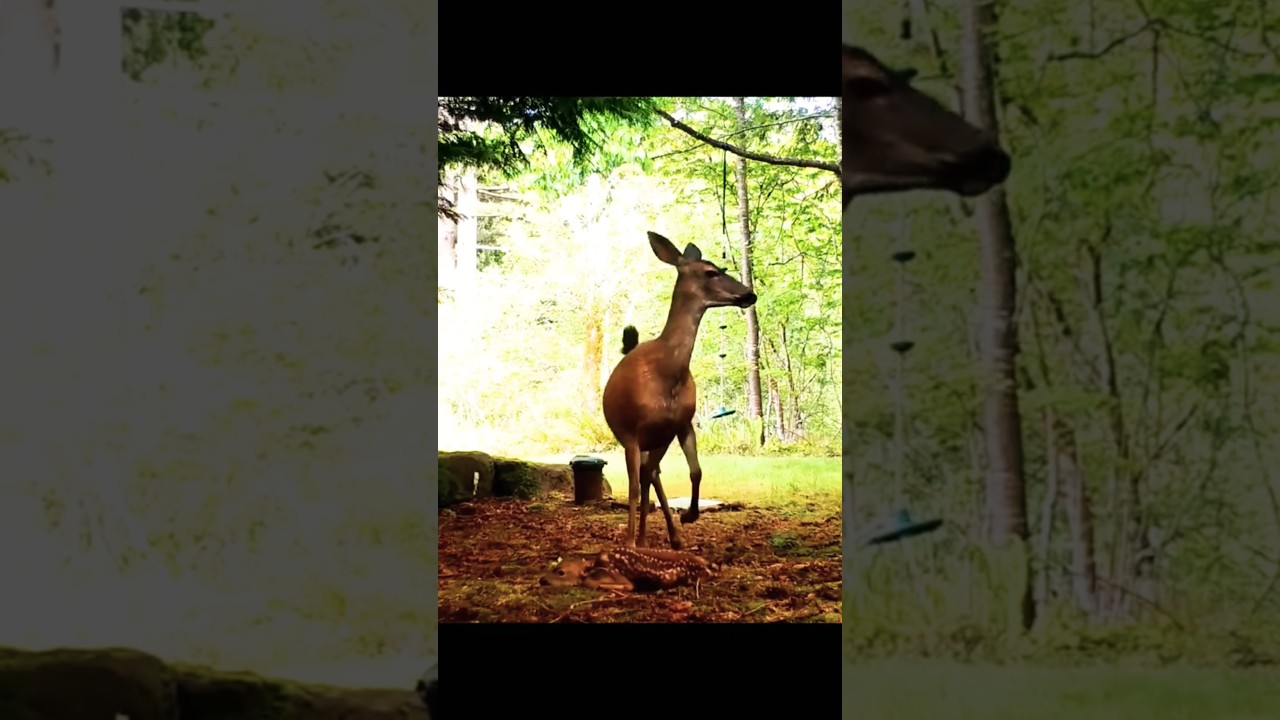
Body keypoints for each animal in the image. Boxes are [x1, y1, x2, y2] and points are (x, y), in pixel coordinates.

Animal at [602, 231, 757, 550]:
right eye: (711, 272)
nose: (750, 294)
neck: (668, 372)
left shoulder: (681, 424)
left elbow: (696, 470)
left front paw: (689, 516)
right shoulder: (633, 431)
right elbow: (632, 487)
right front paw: (629, 542)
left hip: (658, 439)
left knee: (651, 474)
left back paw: (667, 537)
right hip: (634, 437)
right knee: (644, 477)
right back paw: (642, 538)